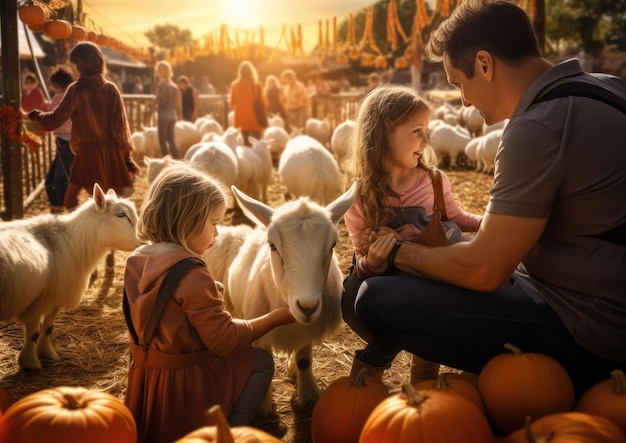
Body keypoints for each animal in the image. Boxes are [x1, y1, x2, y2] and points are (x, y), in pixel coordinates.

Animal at [0, 184, 138, 372]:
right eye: (120, 214)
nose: (143, 238)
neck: (72, 241)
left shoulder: (54, 297)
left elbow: (48, 327)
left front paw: (47, 354)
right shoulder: (39, 302)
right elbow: (34, 332)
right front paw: (31, 363)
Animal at [227, 183, 358, 416]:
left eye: (332, 245)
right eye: (272, 245)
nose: (307, 307)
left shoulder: (306, 332)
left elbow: (304, 360)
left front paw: (309, 394)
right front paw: (262, 404)